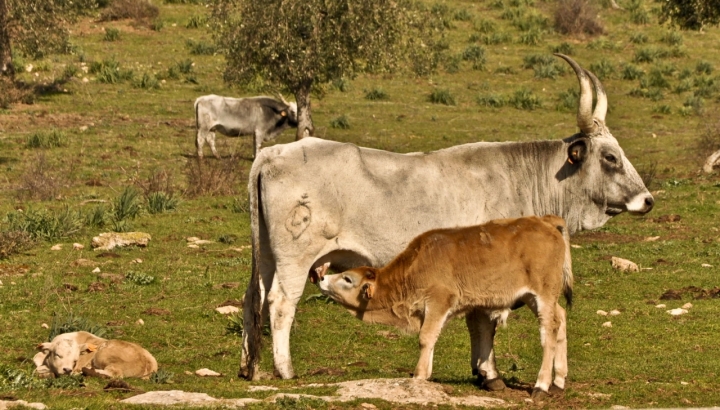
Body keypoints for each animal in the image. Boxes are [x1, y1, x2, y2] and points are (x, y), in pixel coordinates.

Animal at [314, 215, 572, 400]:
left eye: (347, 279)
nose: (321, 277)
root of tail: (545, 221)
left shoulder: (438, 302)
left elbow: (426, 337)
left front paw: (419, 377)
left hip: (543, 295)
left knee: (548, 331)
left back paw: (541, 386)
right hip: (535, 298)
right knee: (561, 319)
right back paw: (558, 382)